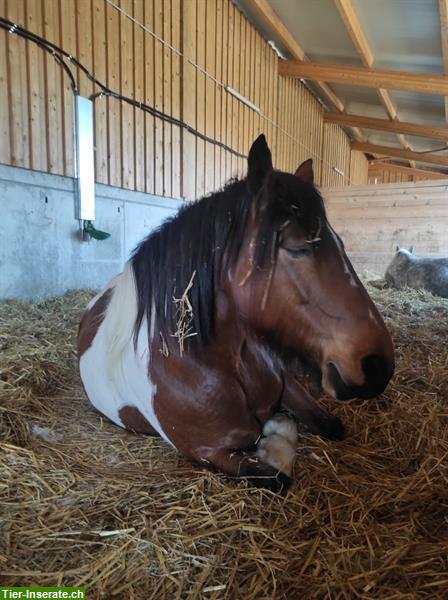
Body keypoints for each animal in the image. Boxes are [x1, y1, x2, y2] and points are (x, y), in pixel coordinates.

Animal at [79, 135, 394, 492]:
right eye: (298, 247)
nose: (377, 365)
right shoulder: (207, 453)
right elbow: (278, 478)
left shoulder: (289, 388)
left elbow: (331, 425)